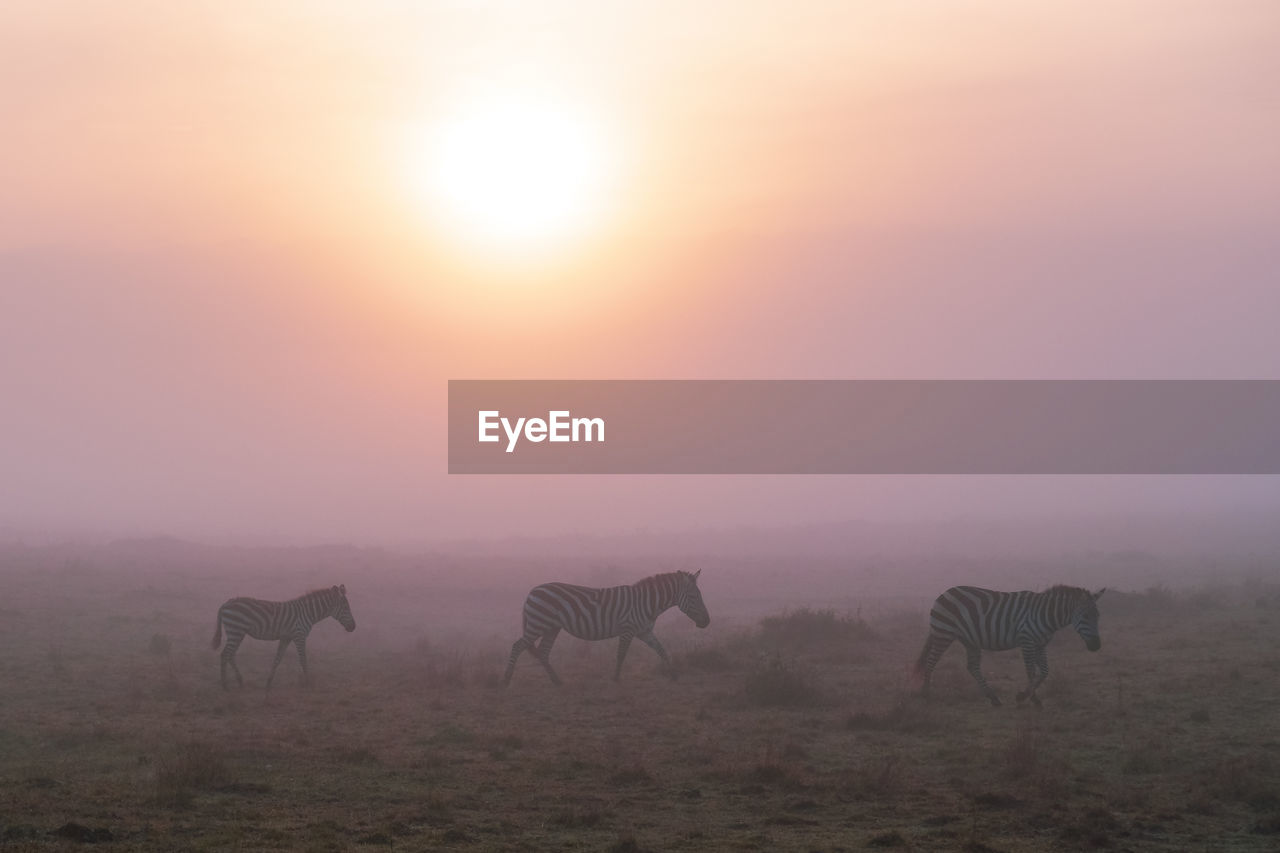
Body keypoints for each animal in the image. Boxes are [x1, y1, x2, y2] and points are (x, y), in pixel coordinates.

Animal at [211, 581, 355, 686]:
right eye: (345, 608)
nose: (353, 627)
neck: (307, 612)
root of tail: (225, 604)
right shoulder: (299, 635)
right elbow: (303, 659)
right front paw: (308, 682)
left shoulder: (286, 637)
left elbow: (277, 659)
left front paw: (269, 681)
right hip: (235, 631)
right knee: (225, 654)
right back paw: (225, 685)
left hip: (238, 633)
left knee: (230, 655)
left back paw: (239, 680)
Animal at [504, 568, 716, 681]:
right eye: (694, 597)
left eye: (699, 595)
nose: (707, 622)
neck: (647, 603)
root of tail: (532, 591)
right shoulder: (628, 629)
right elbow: (621, 654)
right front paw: (615, 678)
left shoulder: (644, 631)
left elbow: (661, 650)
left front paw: (673, 674)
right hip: (538, 624)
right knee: (517, 646)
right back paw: (506, 680)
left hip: (551, 627)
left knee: (543, 651)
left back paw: (557, 681)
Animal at [916, 584, 1105, 701]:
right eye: (1085, 616)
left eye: (1098, 616)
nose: (1096, 646)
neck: (1046, 615)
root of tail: (944, 593)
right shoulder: (1027, 640)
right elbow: (1031, 672)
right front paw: (1031, 698)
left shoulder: (1040, 644)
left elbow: (1044, 672)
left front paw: (1025, 695)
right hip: (944, 633)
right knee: (931, 661)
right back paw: (926, 693)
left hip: (969, 640)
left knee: (972, 667)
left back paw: (992, 697)